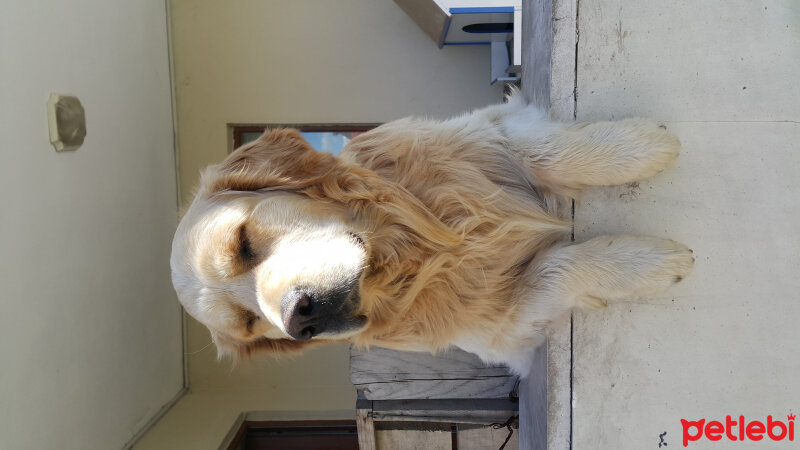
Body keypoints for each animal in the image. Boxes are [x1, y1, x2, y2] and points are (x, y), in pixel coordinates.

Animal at [170, 91, 692, 376]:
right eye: (250, 324)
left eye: (243, 242)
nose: (299, 320)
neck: (413, 253)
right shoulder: (508, 326)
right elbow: (561, 268)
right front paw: (647, 264)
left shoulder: (494, 136)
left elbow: (552, 152)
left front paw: (643, 146)